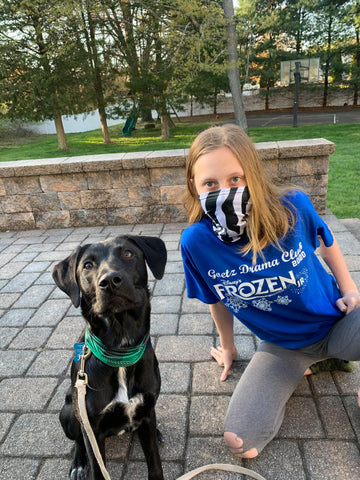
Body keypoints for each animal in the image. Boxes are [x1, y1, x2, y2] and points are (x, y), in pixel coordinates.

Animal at [51, 236, 166, 480]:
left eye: (128, 254)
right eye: (87, 265)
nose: (110, 281)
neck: (121, 351)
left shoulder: (146, 411)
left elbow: (155, 463)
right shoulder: (92, 429)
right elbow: (97, 467)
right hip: (69, 413)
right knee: (78, 441)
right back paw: (78, 463)